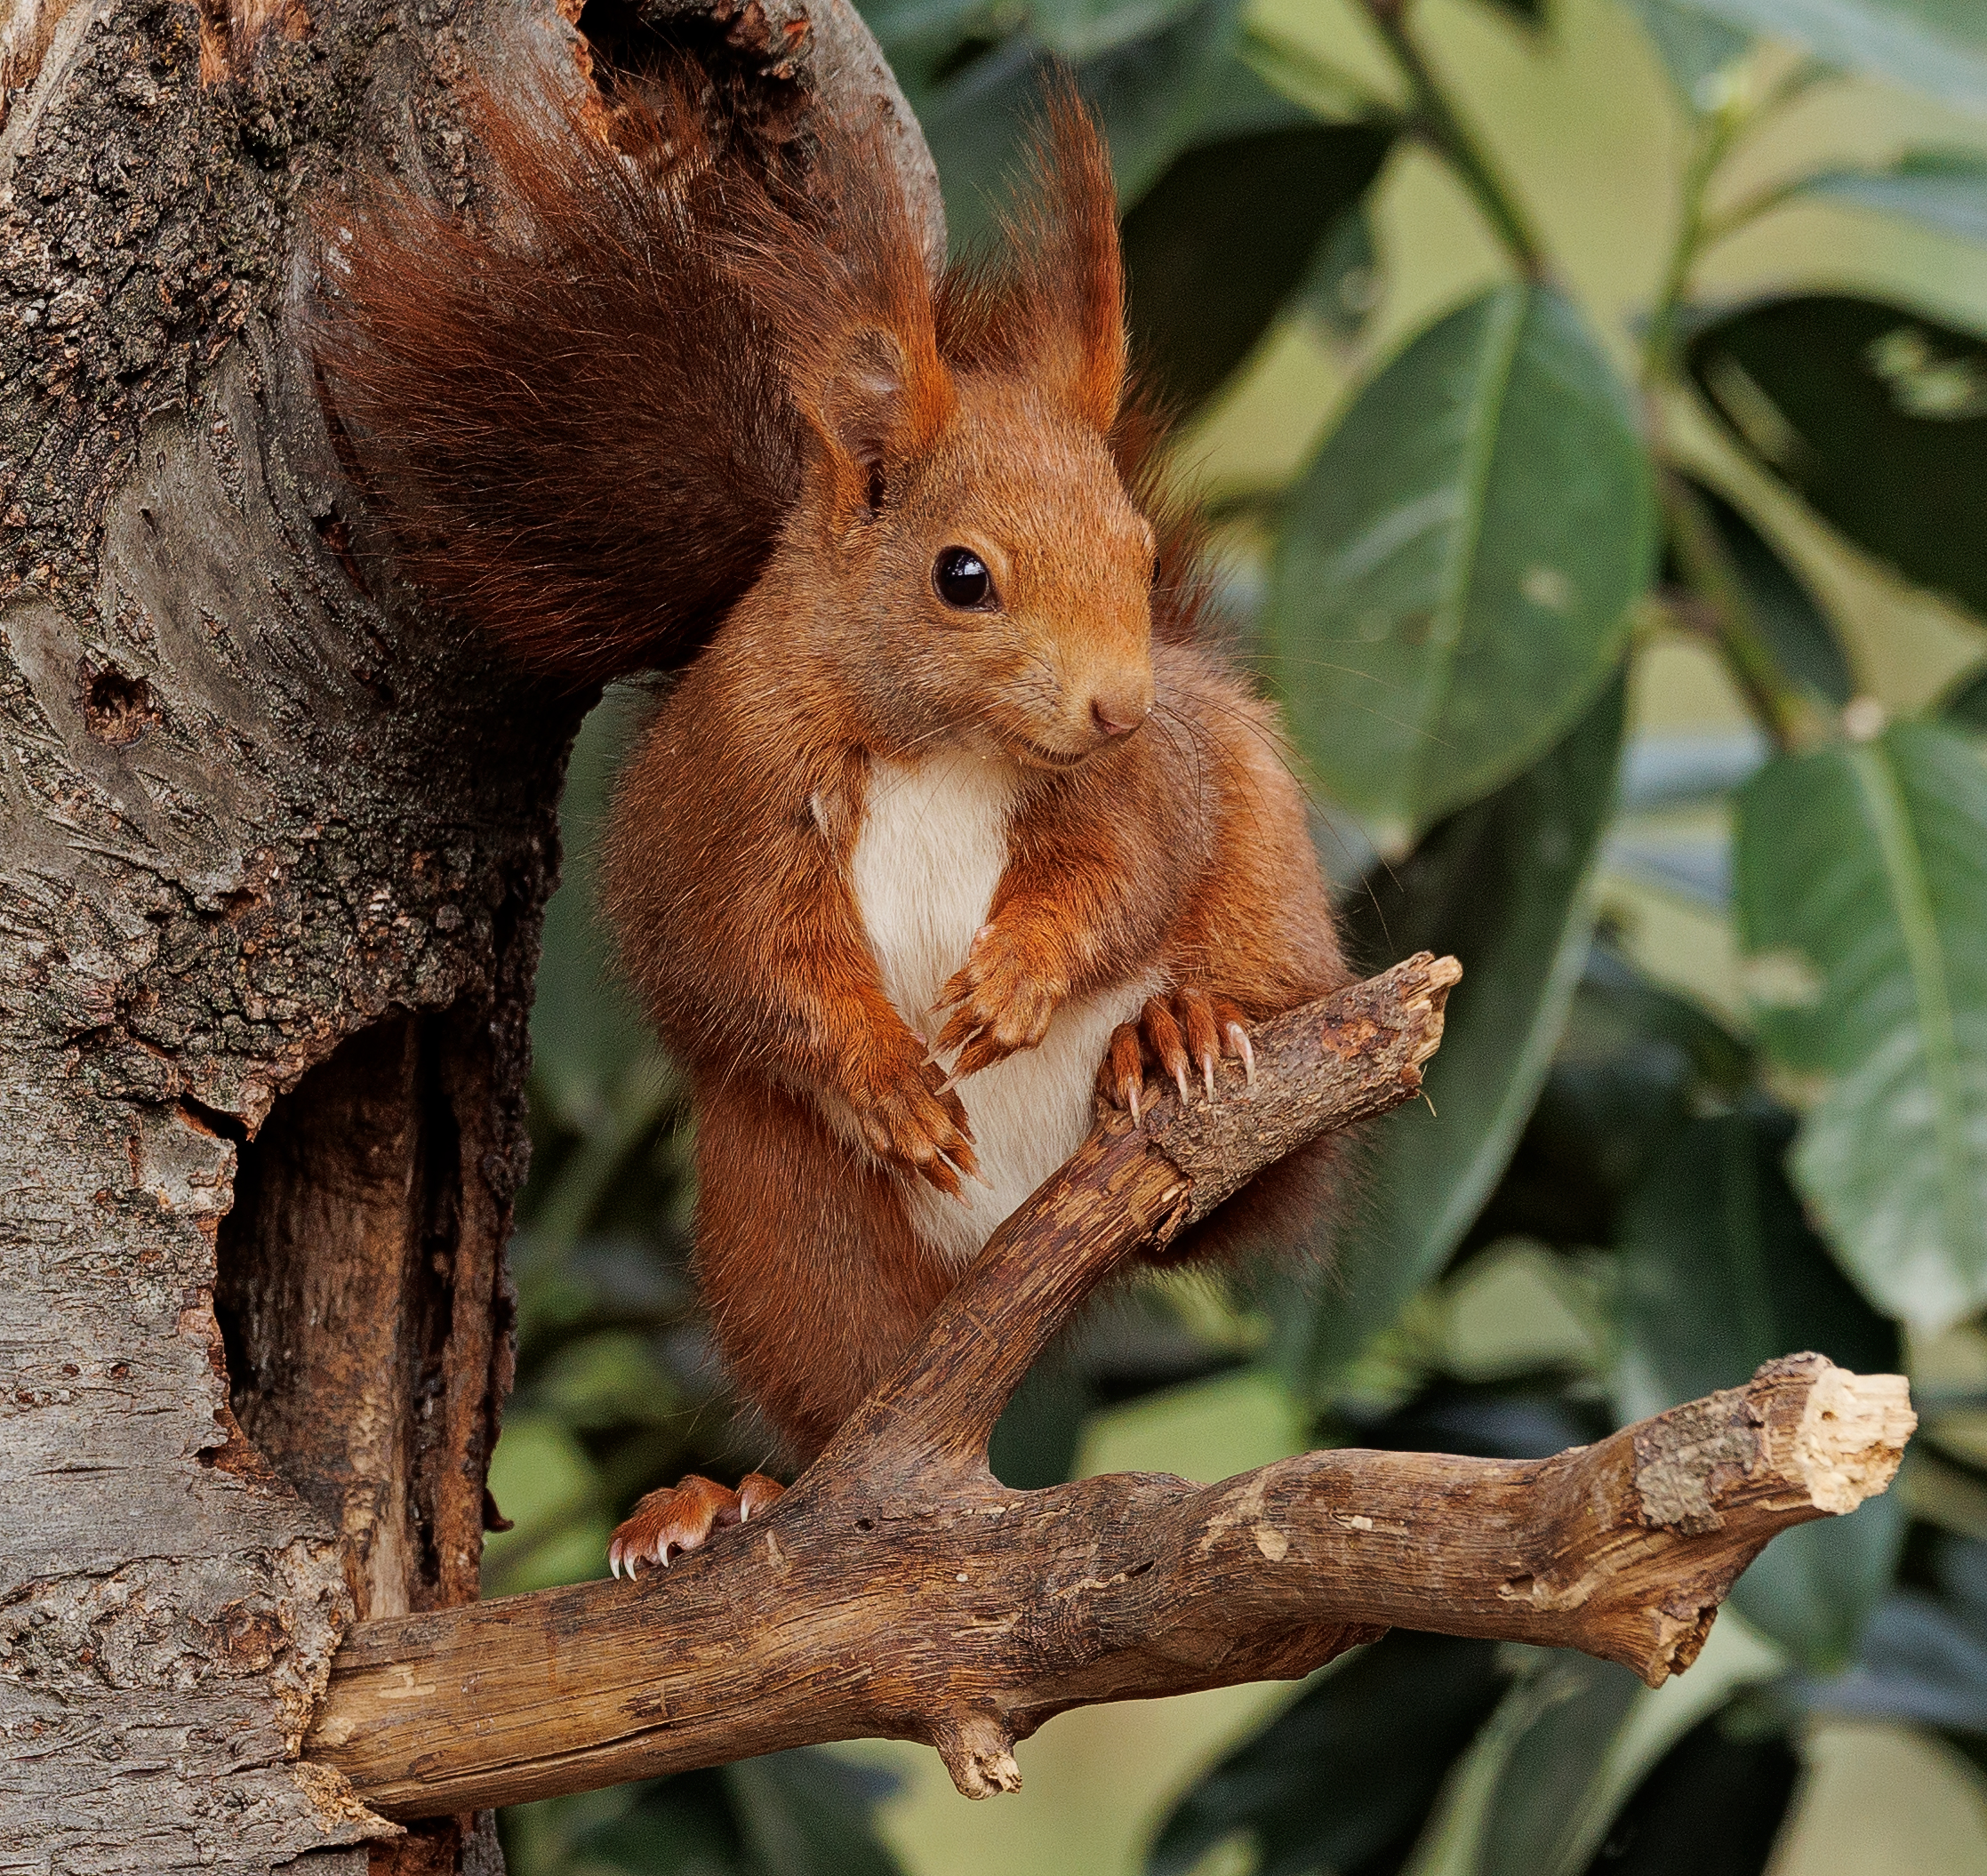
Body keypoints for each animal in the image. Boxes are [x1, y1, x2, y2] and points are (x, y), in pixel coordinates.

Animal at [316, 68, 1350, 1573]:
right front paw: (883, 1074)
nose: (1117, 702)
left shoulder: (1144, 784)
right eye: (960, 575)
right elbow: (754, 948)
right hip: (788, 1227)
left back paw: (1180, 1031)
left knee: (1263, 1156)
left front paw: (1016, 981)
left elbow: (1119, 871)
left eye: (1139, 553)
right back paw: (724, 1499)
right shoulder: (734, 782)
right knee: (847, 1414)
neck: (946, 747)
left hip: (1281, 978)